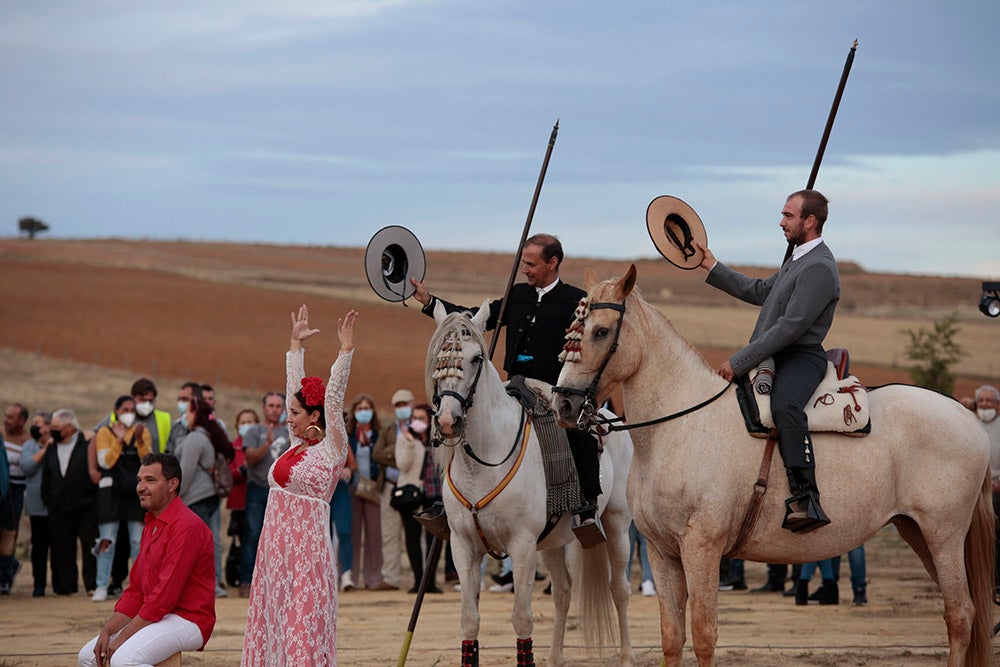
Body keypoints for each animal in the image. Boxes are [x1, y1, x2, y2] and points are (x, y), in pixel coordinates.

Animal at [428, 304, 632, 667]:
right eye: (440, 355)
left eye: (477, 358)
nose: (449, 421)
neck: (484, 460)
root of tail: (609, 419)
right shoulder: (463, 546)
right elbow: (469, 620)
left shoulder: (521, 545)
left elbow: (522, 618)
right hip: (552, 542)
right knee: (563, 593)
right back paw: (555, 657)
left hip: (617, 523)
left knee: (619, 590)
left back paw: (626, 657)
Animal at [552, 268, 996, 667]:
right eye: (573, 331)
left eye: (601, 332)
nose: (564, 404)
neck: (680, 425)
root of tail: (968, 418)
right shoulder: (663, 554)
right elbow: (672, 638)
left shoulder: (702, 549)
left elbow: (704, 635)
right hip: (918, 533)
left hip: (944, 535)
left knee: (961, 615)